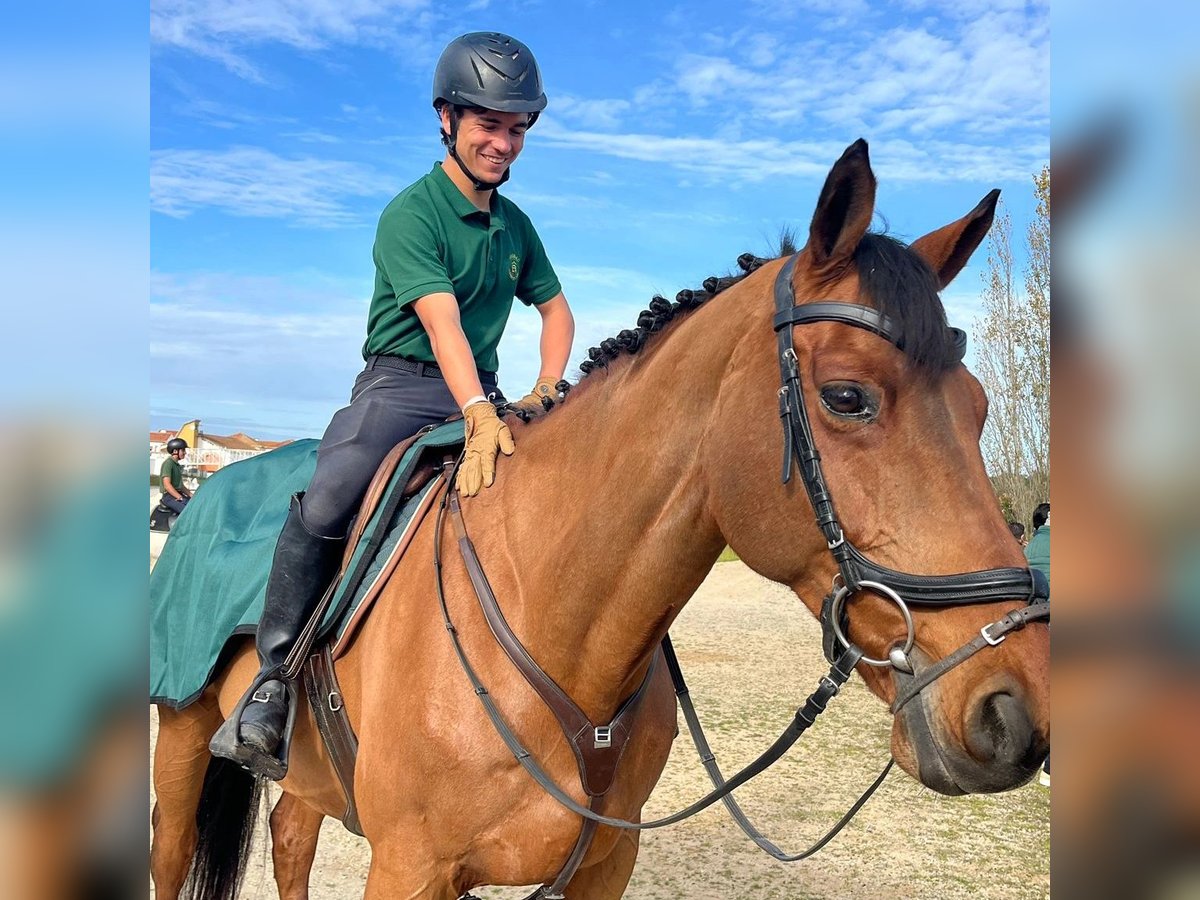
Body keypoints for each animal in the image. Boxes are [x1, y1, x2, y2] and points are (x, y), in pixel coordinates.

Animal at [150, 141, 1051, 900]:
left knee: (291, 838)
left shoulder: (603, 866)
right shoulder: (409, 866)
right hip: (182, 739)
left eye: (978, 409)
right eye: (847, 397)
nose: (1017, 711)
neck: (552, 618)